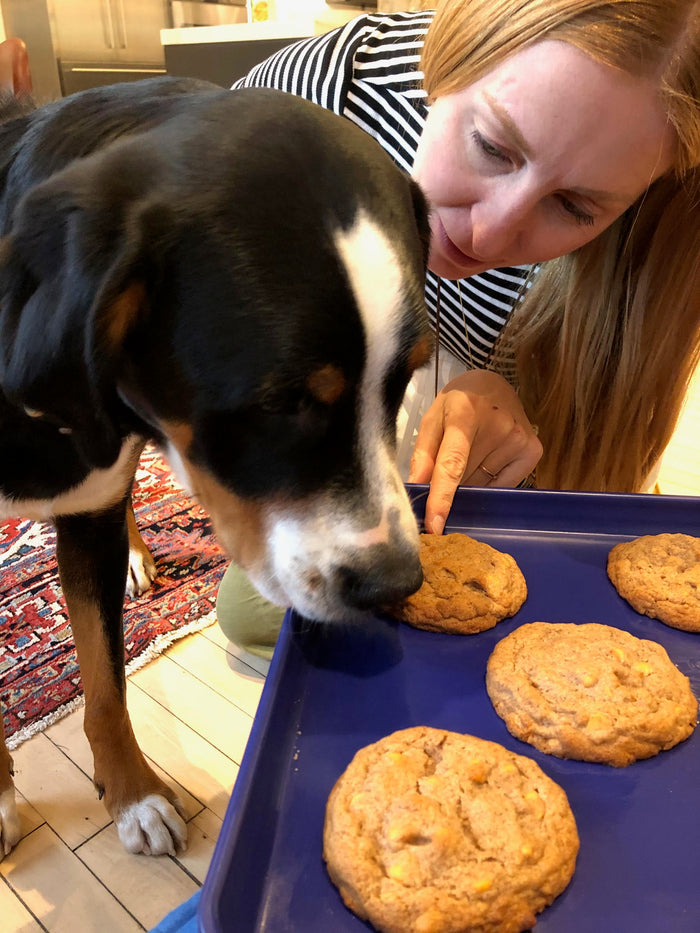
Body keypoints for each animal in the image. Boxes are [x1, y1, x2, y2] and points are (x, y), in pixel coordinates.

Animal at [0, 80, 432, 860]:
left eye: (406, 377)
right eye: (282, 401)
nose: (394, 585)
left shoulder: (88, 508)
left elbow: (105, 684)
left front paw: (133, 794)